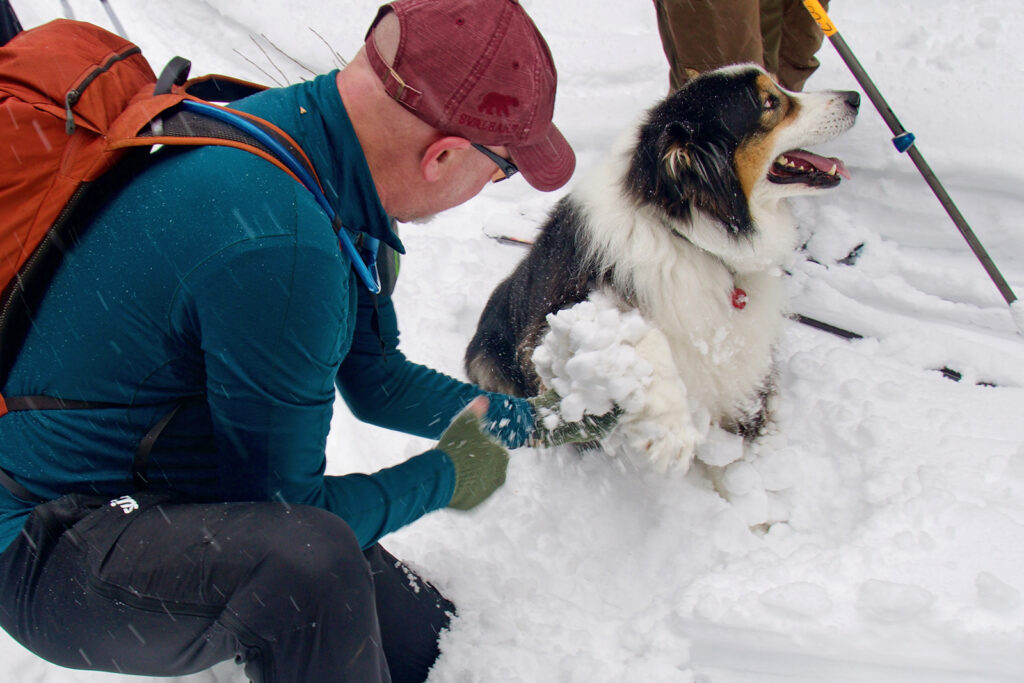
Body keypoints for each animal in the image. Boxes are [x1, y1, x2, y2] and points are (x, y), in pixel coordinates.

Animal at [468, 63, 860, 458]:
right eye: (770, 102)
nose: (855, 97)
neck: (686, 232)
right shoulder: (552, 321)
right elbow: (643, 339)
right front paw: (670, 429)